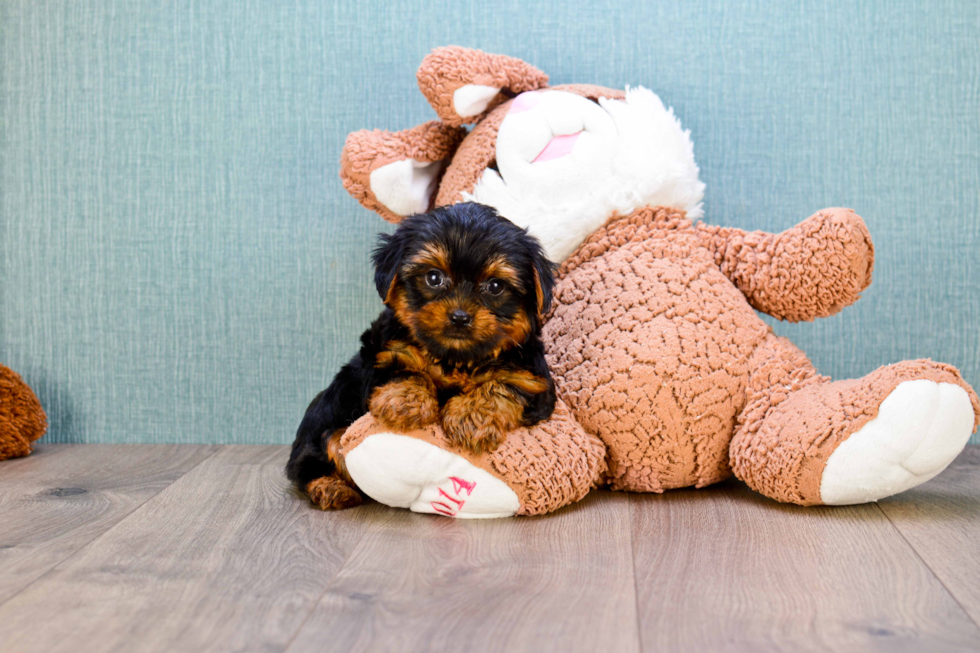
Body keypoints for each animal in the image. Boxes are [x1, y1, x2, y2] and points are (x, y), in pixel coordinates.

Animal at [288, 204, 556, 510]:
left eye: (495, 286)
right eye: (434, 278)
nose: (460, 317)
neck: (455, 358)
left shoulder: (531, 379)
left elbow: (502, 384)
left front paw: (472, 416)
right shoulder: (384, 354)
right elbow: (406, 370)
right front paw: (405, 402)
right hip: (322, 430)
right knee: (313, 460)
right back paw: (330, 487)